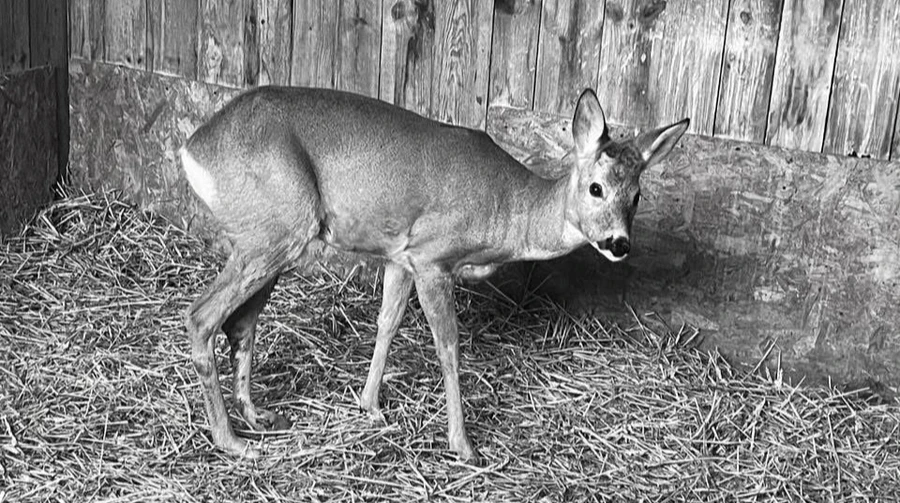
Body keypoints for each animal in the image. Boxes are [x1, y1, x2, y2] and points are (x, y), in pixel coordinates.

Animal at [179, 86, 689, 461]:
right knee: (201, 317)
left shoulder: (399, 256)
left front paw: (370, 405)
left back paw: (260, 417)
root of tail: (193, 148)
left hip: (269, 235)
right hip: (280, 226)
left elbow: (386, 324)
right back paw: (233, 442)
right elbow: (448, 348)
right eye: (596, 188)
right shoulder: (431, 257)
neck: (508, 212)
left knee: (240, 322)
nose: (619, 243)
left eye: (638, 195)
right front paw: (464, 445)